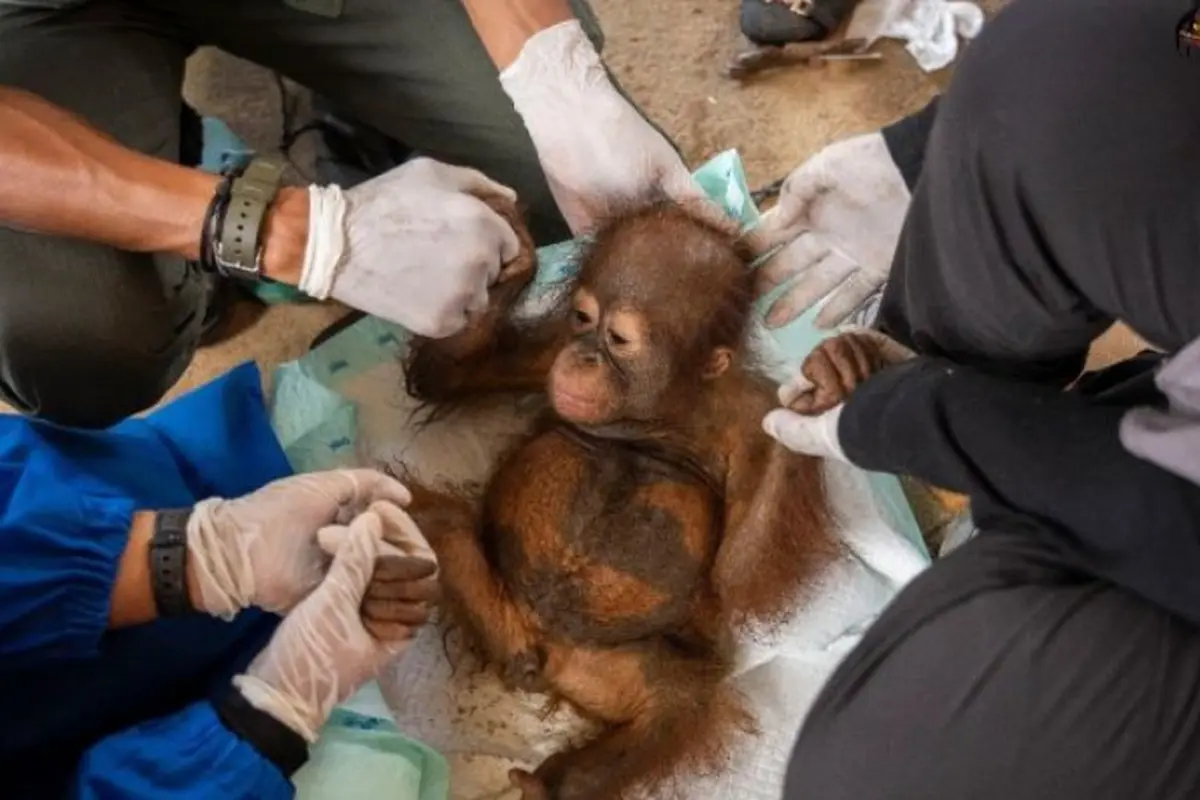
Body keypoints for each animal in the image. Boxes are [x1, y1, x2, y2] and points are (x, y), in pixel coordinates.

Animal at [399, 199, 836, 800]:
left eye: (620, 338)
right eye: (584, 319)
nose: (584, 356)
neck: (659, 411)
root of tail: (537, 644)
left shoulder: (749, 418)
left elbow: (737, 576)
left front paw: (822, 397)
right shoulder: (550, 352)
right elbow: (450, 375)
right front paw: (513, 261)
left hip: (602, 666)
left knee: (675, 701)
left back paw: (549, 786)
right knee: (430, 521)